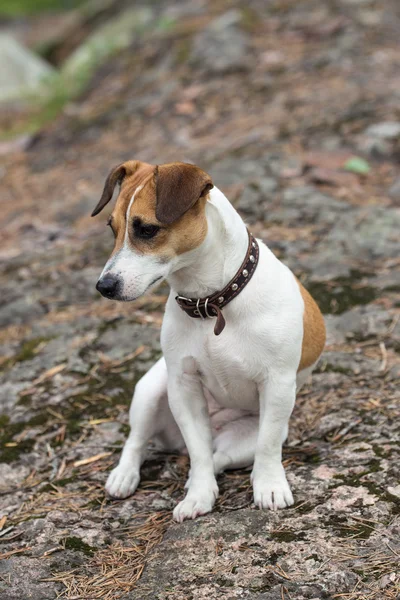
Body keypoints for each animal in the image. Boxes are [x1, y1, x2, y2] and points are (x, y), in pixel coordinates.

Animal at [93, 159, 324, 520]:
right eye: (112, 229)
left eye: (147, 230)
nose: (103, 286)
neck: (212, 301)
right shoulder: (183, 388)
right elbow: (198, 452)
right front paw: (199, 495)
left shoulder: (278, 385)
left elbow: (267, 446)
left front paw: (270, 486)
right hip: (151, 390)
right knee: (140, 441)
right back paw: (126, 475)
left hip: (244, 439)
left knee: (225, 456)